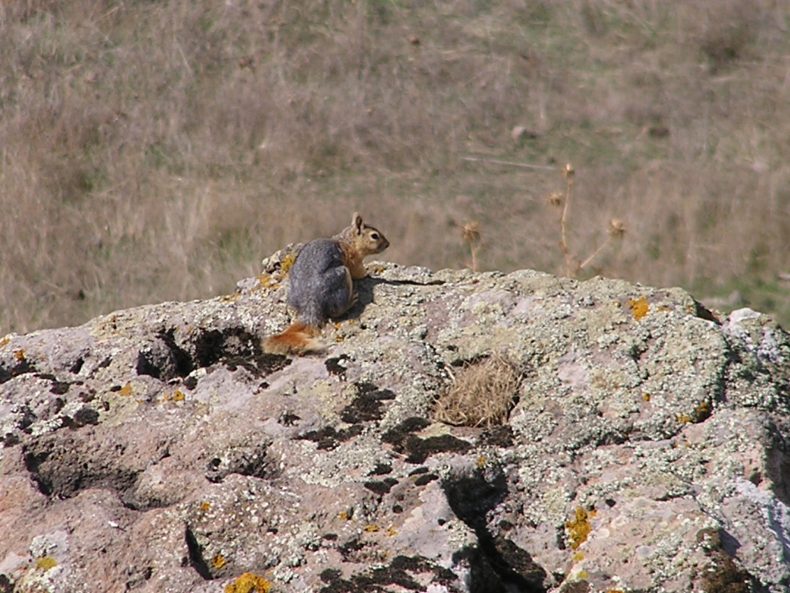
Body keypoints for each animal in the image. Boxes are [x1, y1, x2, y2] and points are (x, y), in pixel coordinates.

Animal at [264, 210, 392, 354]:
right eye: (374, 236)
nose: (388, 244)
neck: (347, 241)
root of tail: (310, 306)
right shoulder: (354, 262)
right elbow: (360, 273)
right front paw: (372, 271)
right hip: (341, 277)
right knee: (335, 311)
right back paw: (350, 301)